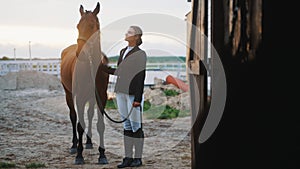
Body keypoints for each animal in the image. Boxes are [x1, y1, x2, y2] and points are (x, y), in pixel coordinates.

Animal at [59, 1, 109, 164]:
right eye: (78, 26)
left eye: (92, 25)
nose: (80, 51)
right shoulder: (80, 97)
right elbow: (80, 124)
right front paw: (79, 156)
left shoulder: (101, 97)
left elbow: (100, 124)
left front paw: (102, 155)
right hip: (69, 94)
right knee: (74, 117)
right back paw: (75, 145)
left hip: (91, 98)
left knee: (89, 115)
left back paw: (88, 142)